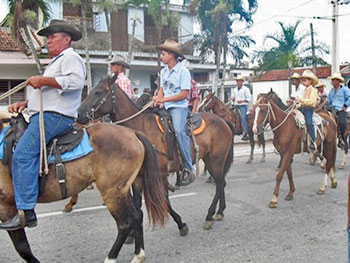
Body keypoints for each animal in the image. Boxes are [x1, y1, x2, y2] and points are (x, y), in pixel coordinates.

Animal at [0, 122, 168, 262]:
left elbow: (23, 249)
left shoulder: (7, 208)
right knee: (137, 216)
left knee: (125, 223)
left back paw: (111, 258)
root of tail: (132, 132)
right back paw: (138, 255)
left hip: (112, 193)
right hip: (125, 189)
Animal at [77, 76, 235, 231]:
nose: (78, 114)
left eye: (98, 92)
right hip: (209, 159)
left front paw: (181, 224)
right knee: (222, 183)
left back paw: (209, 216)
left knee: (220, 184)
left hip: (216, 160)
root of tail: (224, 122)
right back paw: (220, 212)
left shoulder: (161, 173)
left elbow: (164, 200)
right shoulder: (138, 177)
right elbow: (138, 205)